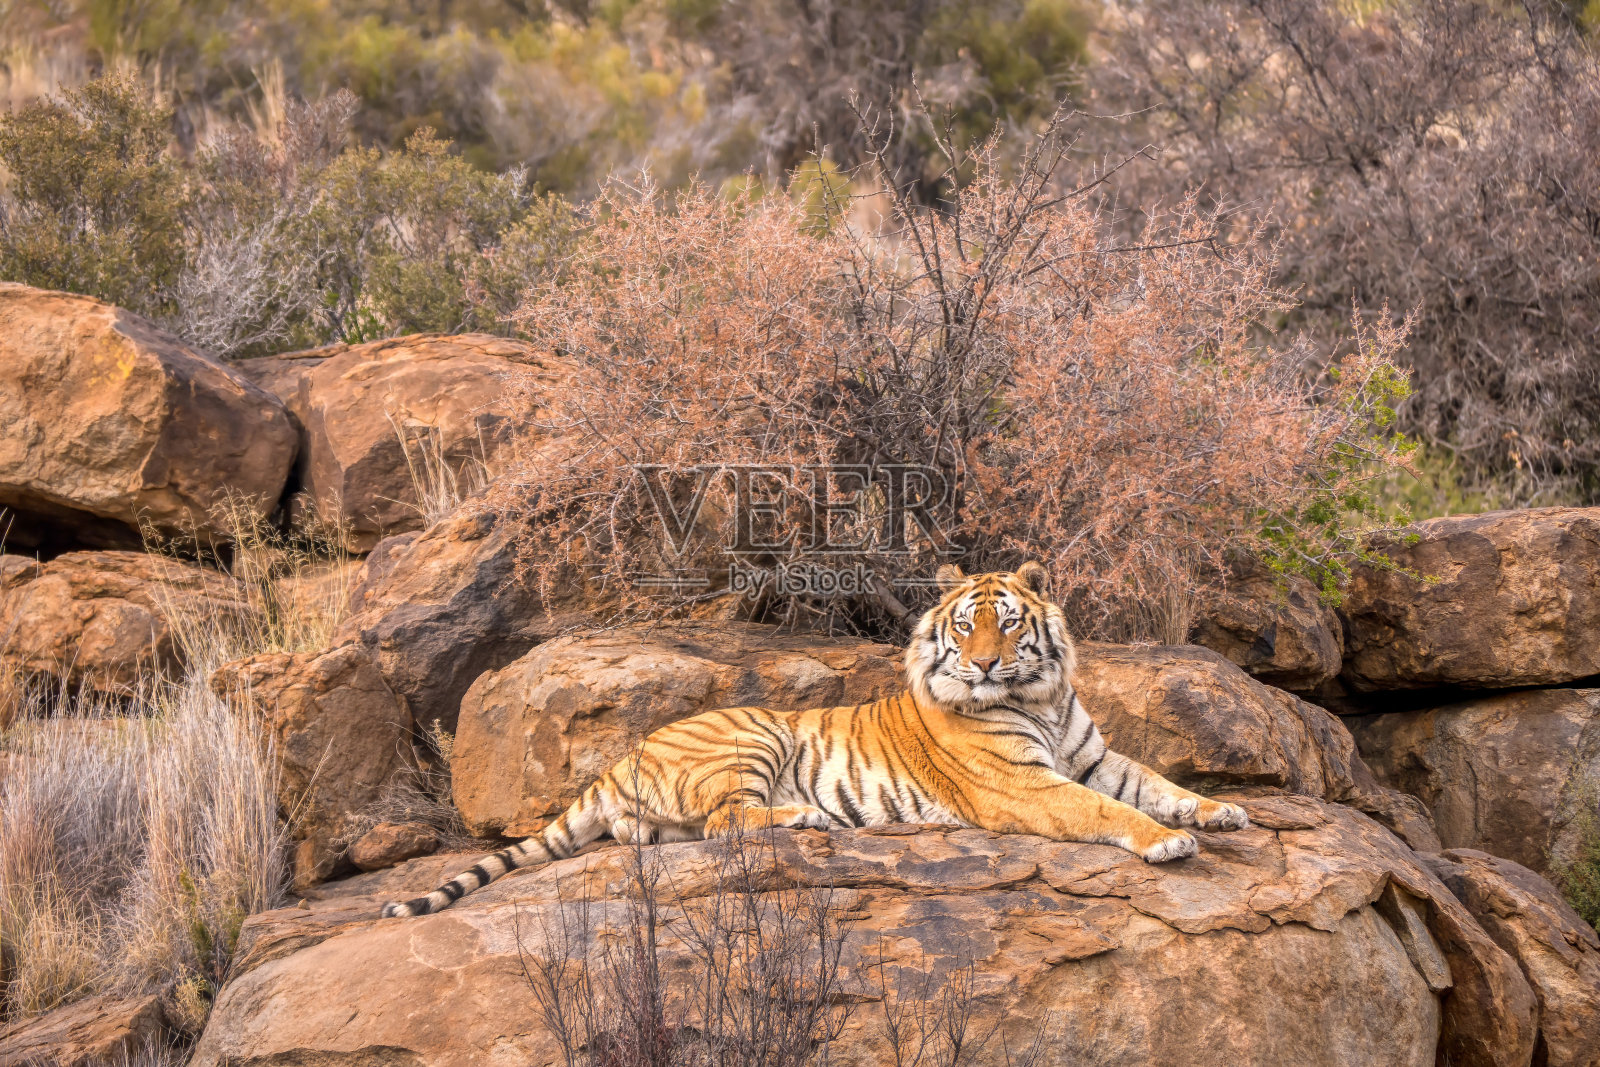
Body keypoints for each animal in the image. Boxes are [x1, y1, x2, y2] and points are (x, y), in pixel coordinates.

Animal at [381, 561, 1249, 918]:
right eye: (965, 627)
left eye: (1008, 624)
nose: (982, 665)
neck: (1038, 694)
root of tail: (617, 759)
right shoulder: (1027, 783)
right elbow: (1112, 812)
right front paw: (1169, 842)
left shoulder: (1094, 757)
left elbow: (1156, 783)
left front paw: (1219, 812)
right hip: (753, 732)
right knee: (725, 823)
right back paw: (803, 816)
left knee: (672, 835)